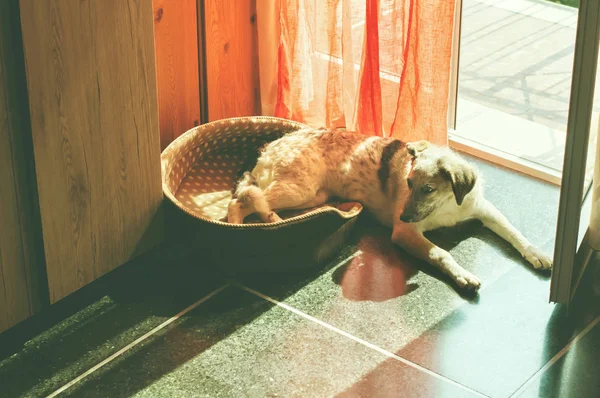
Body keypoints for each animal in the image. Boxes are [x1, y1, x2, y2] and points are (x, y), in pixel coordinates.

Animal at [227, 127, 552, 290]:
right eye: (407, 183)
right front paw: (461, 275)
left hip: (314, 196)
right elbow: (440, 252)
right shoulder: (405, 233)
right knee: (241, 201)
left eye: (428, 189)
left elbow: (513, 231)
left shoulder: (483, 209)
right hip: (298, 190)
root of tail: (267, 148)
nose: (403, 215)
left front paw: (536, 254)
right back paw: (251, 223)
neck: (448, 206)